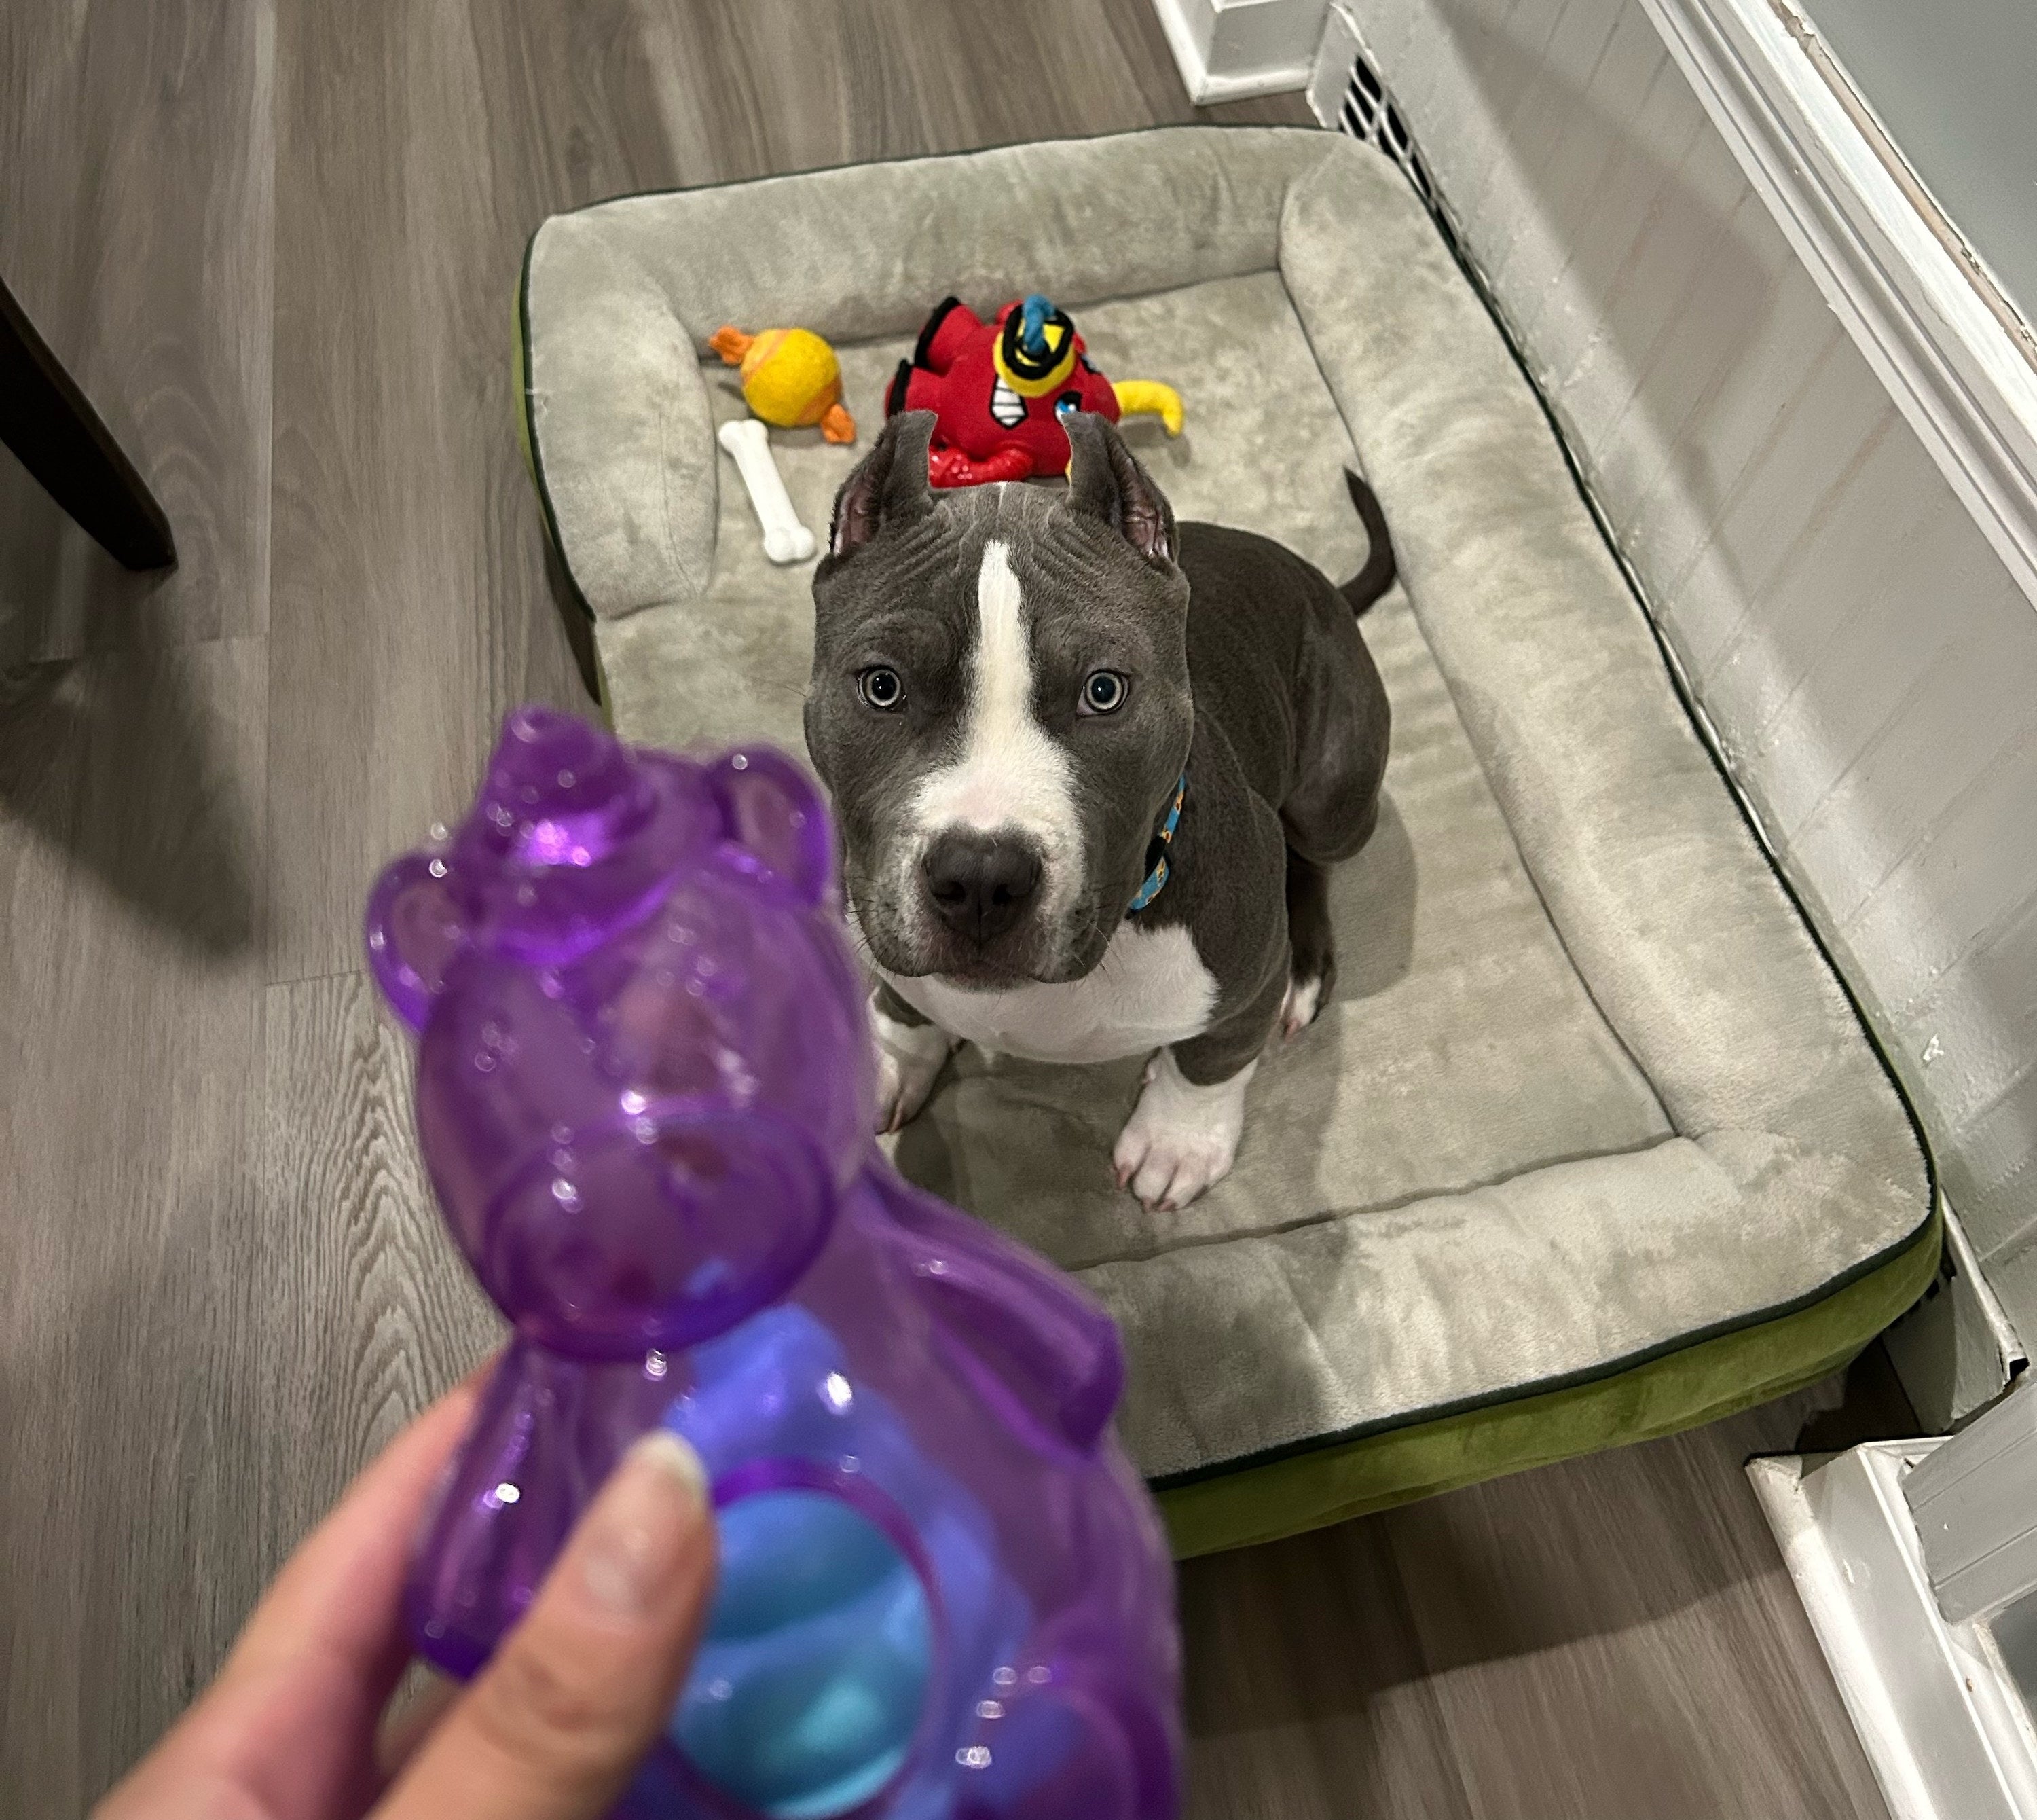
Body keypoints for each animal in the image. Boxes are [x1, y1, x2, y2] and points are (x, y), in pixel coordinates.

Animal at [803, 410, 1393, 1206]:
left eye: (1104, 691)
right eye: (883, 687)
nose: (981, 877)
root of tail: (1320, 582)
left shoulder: (1243, 985)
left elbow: (1211, 1063)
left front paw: (1178, 1141)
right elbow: (904, 1000)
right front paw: (894, 1056)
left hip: (1335, 795)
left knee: (1312, 857)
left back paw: (1305, 966)